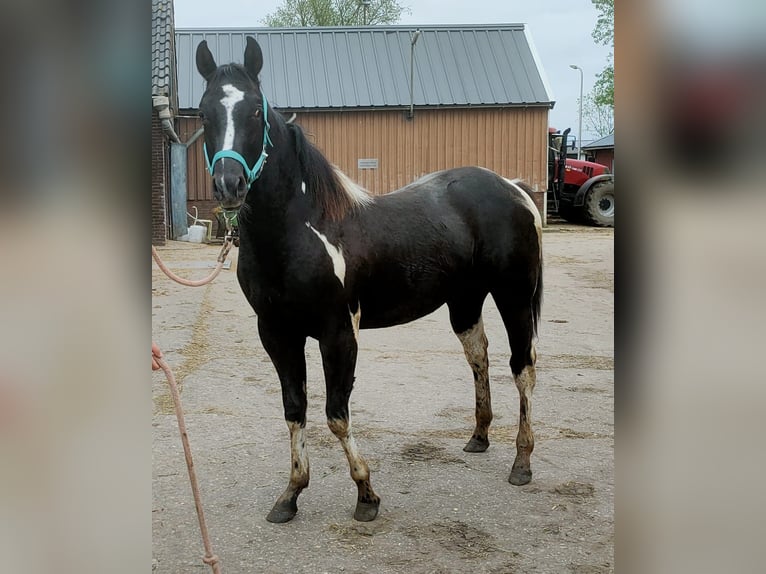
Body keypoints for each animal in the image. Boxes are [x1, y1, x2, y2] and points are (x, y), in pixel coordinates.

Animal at [198, 37, 544, 528]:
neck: (305, 228)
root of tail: (512, 188)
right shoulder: (277, 334)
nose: (230, 185)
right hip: (465, 301)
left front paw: (366, 494)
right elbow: (295, 410)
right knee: (479, 356)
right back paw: (478, 437)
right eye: (204, 113)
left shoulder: (339, 333)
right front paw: (290, 494)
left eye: (254, 112)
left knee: (523, 366)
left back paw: (522, 462)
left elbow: (336, 414)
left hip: (514, 295)